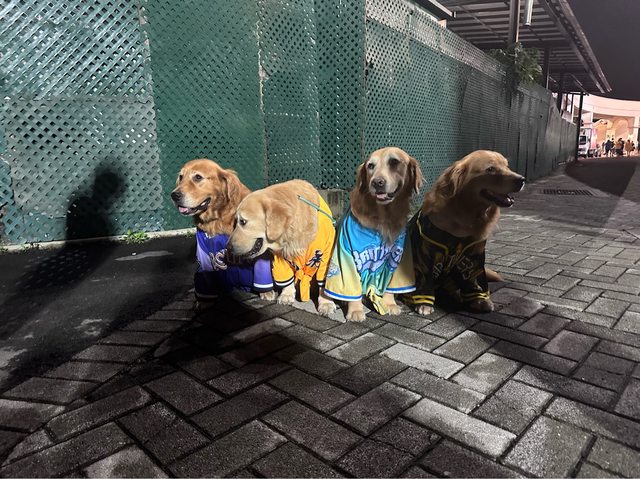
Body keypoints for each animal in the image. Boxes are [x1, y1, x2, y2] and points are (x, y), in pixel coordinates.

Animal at [171, 159, 276, 303]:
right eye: (181, 177)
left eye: (198, 177)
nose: (174, 195)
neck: (219, 218)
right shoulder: (204, 254)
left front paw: (266, 293)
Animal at [227, 179, 337, 315]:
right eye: (235, 222)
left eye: (243, 221)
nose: (228, 247)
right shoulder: (281, 257)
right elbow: (286, 278)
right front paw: (286, 295)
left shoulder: (327, 254)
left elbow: (325, 282)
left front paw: (326, 303)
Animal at [324, 147, 424, 322]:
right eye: (370, 166)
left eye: (394, 162)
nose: (377, 183)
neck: (383, 217)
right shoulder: (346, 253)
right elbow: (352, 286)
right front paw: (355, 311)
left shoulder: (399, 257)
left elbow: (390, 284)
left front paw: (390, 304)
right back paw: (328, 304)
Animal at [405, 150, 525, 315]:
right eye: (491, 169)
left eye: (507, 166)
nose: (522, 179)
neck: (465, 219)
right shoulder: (424, 255)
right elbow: (424, 281)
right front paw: (423, 304)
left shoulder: (474, 257)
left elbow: (474, 280)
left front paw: (481, 300)